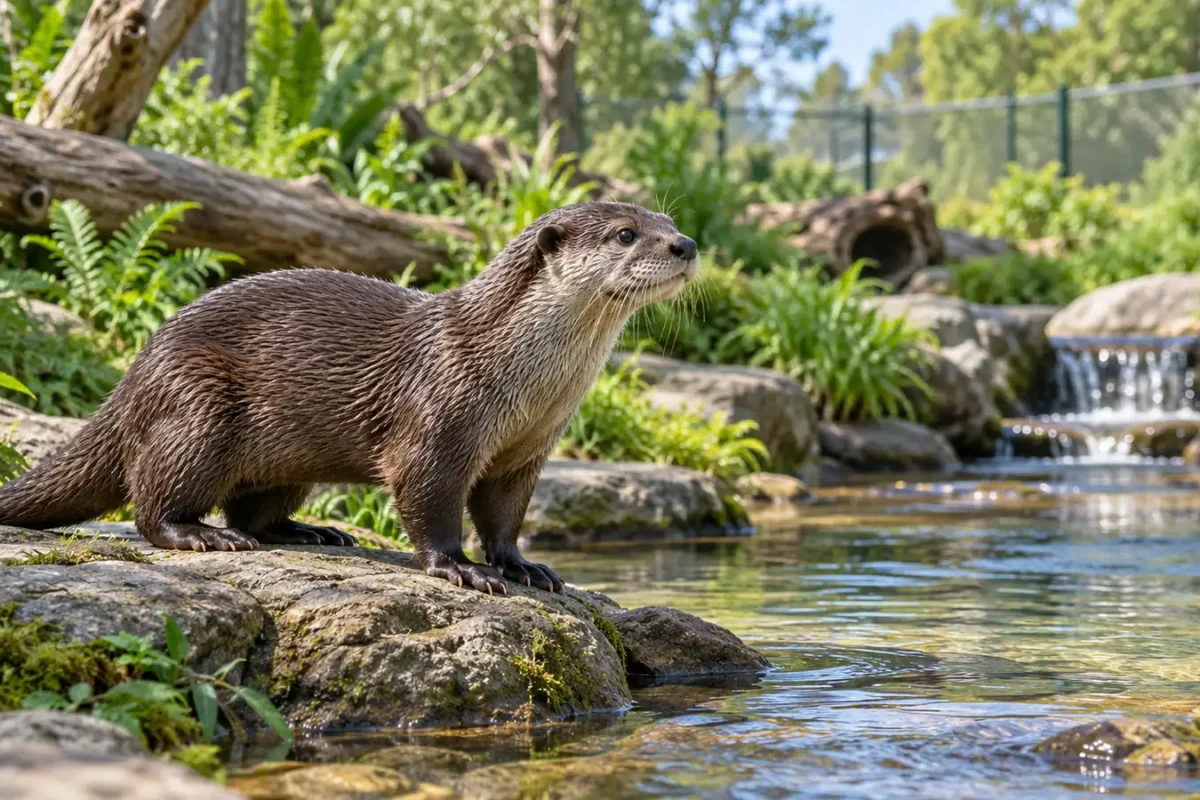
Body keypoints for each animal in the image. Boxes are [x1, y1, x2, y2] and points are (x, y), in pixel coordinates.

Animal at [0, 202, 699, 593]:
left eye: (670, 222)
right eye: (626, 234)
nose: (686, 244)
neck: (523, 383)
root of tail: (134, 373)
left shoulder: (526, 452)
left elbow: (504, 517)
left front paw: (522, 567)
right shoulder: (438, 421)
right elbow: (429, 501)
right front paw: (463, 570)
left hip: (282, 458)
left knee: (253, 509)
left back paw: (312, 532)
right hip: (195, 403)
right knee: (153, 503)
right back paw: (200, 536)